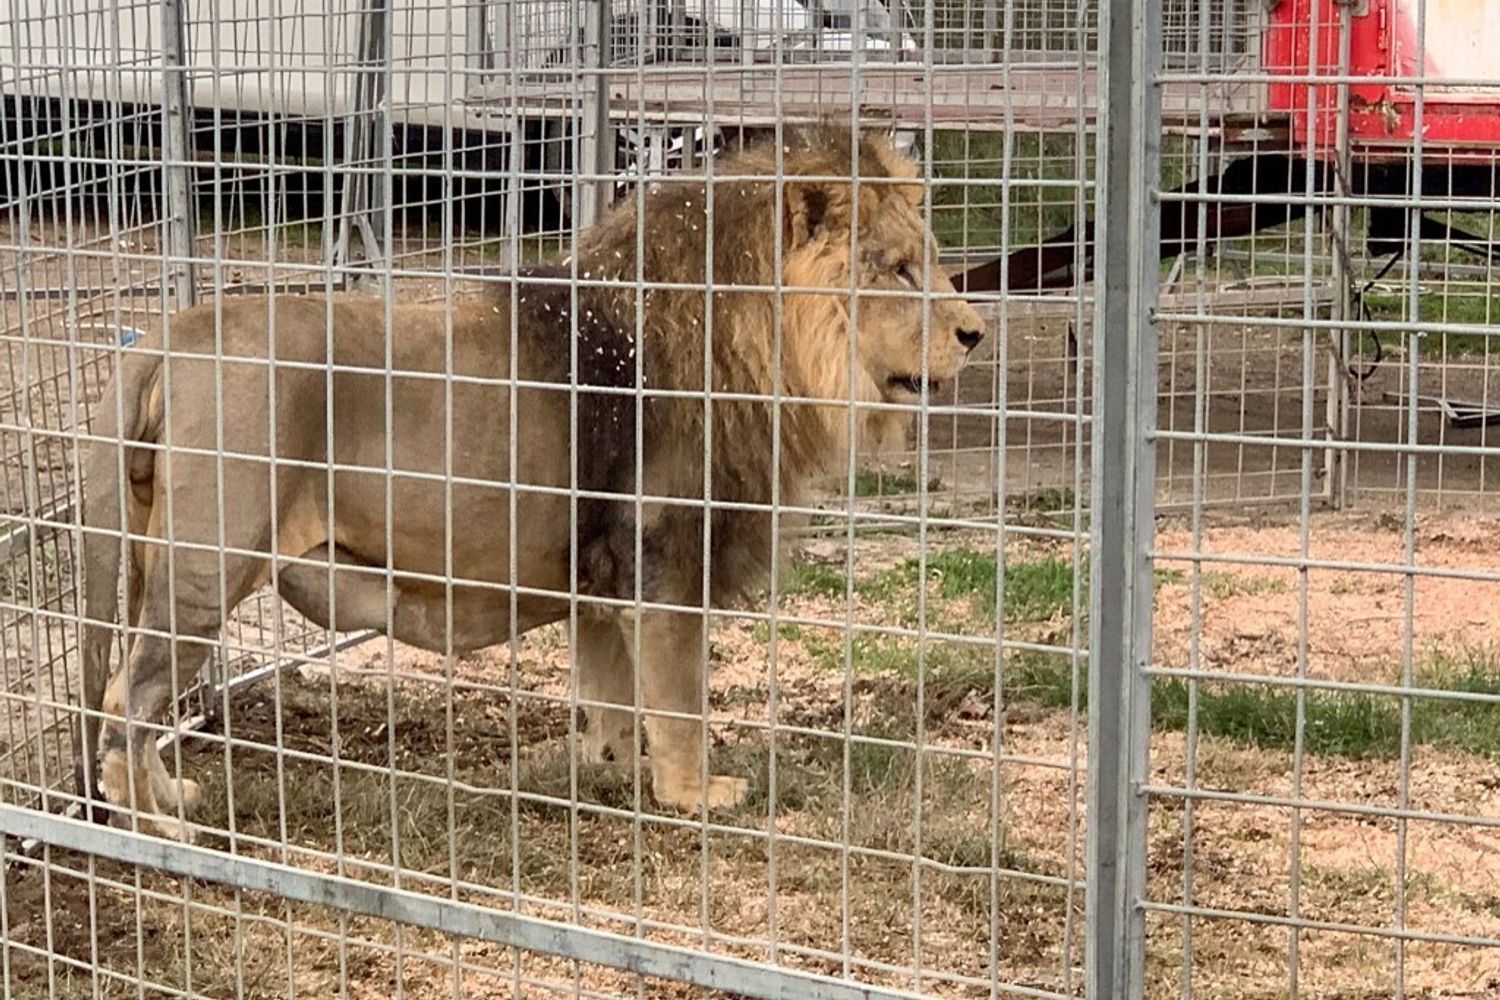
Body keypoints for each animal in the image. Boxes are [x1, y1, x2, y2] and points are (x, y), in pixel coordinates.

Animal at [78, 126, 986, 839]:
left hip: (162, 560)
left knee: (138, 699)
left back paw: (170, 797)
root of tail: (168, 337)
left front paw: (611, 772)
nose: (976, 334)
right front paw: (696, 795)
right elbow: (680, 700)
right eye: (898, 270)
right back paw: (152, 827)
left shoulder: (602, 577)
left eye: (934, 262)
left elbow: (614, 692)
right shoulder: (664, 558)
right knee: (128, 695)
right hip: (206, 568)